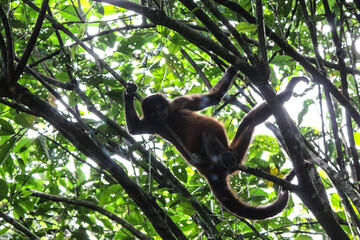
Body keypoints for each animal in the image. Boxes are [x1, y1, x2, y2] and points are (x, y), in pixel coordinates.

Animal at [124, 65, 306, 219]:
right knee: (208, 134)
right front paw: (127, 94)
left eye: (159, 108)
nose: (159, 114)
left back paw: (288, 91)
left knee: (249, 121)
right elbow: (134, 129)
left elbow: (213, 98)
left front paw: (233, 68)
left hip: (237, 150)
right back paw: (224, 159)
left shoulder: (178, 103)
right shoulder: (155, 124)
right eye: (153, 113)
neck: (170, 117)